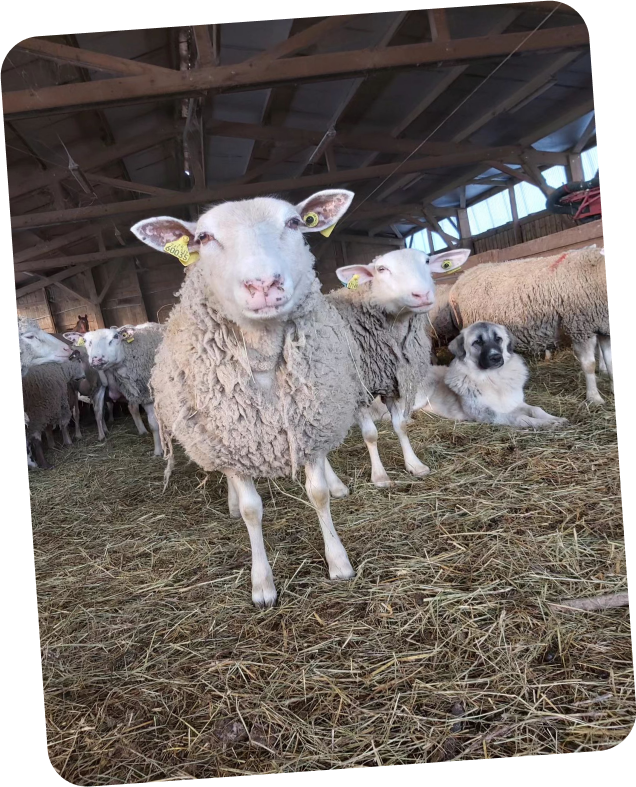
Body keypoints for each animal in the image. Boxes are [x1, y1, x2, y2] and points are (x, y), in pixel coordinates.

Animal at [64, 323, 165, 456]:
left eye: (116, 336)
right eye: (85, 341)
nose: (97, 359)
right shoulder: (146, 395)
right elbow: (154, 424)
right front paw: (158, 452)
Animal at [130, 190, 366, 608]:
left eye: (294, 222)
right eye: (204, 237)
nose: (263, 283)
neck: (263, 355)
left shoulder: (310, 424)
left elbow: (318, 494)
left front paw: (338, 562)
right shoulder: (233, 443)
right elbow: (251, 510)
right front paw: (263, 584)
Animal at [326, 247, 470, 488]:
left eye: (427, 260)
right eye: (381, 269)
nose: (422, 295)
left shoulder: (393, 385)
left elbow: (400, 425)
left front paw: (415, 465)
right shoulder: (359, 390)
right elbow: (370, 434)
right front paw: (380, 476)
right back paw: (334, 485)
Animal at [428, 247, 610, 404]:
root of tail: (461, 279)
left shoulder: (602, 325)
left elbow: (607, 354)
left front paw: (608, 375)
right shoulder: (581, 325)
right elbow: (589, 364)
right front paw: (594, 398)